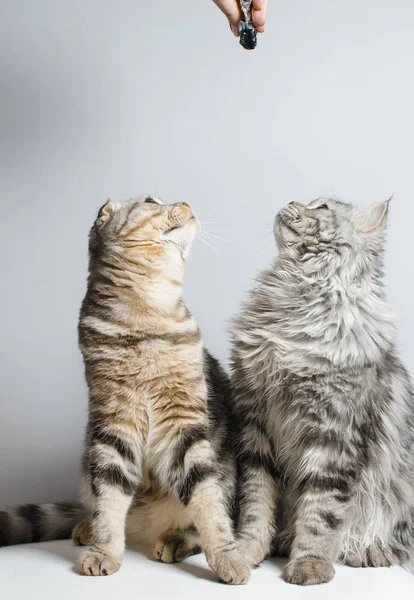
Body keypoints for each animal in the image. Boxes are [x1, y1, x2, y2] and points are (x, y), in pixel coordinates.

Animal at [0, 197, 249, 584]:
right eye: (151, 202)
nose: (186, 202)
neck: (149, 313)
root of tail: (145, 525)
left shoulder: (185, 426)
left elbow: (208, 504)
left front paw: (228, 557)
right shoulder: (114, 422)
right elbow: (110, 499)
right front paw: (104, 549)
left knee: (209, 510)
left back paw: (175, 538)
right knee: (100, 506)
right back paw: (87, 528)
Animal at [231, 199, 414, 584]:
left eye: (323, 206)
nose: (290, 201)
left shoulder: (334, 435)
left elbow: (321, 513)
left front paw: (309, 564)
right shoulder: (256, 430)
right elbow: (256, 507)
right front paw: (245, 551)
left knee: (396, 540)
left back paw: (369, 551)